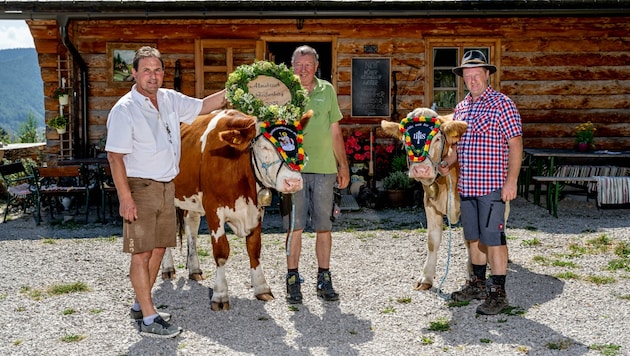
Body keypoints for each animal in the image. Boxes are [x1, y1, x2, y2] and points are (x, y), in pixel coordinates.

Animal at [162, 109, 310, 312]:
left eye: (300, 144)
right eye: (264, 147)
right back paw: (168, 268)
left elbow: (254, 249)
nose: (293, 182)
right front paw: (220, 295)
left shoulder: (256, 210)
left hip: (190, 199)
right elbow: (221, 252)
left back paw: (194, 269)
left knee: (191, 226)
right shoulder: (213, 208)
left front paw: (262, 288)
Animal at [380, 107, 470, 290]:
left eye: (437, 139)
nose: (421, 169)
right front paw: (426, 277)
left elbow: (471, 240)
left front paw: (471, 273)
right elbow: (432, 240)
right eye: (405, 141)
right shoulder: (429, 203)